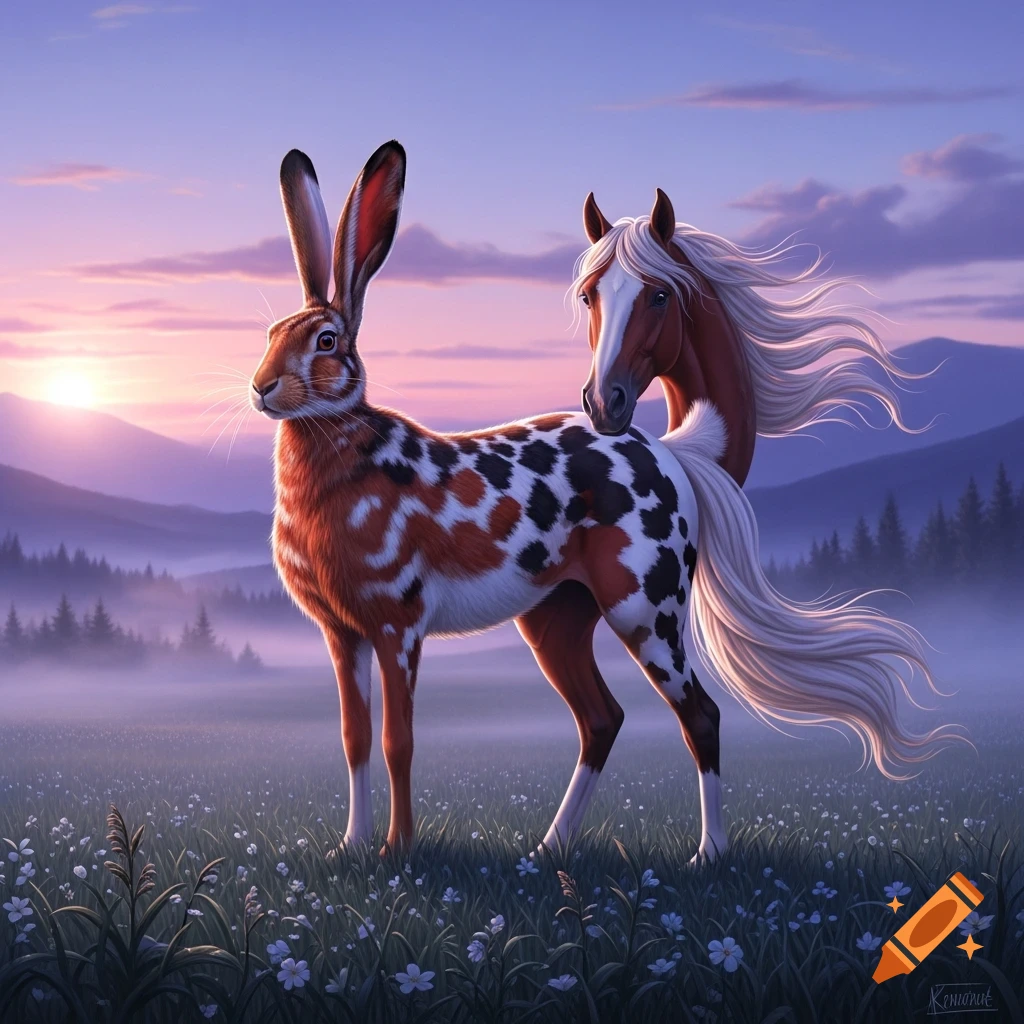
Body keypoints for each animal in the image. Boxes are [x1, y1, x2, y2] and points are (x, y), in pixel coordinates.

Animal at [249, 141, 963, 861]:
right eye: (273, 332)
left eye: (328, 341)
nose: (261, 387)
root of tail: (675, 455)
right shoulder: (342, 633)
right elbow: (355, 739)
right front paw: (350, 848)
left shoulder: (399, 627)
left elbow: (399, 741)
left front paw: (398, 850)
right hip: (556, 617)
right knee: (602, 717)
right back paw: (549, 850)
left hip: (646, 608)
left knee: (699, 713)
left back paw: (708, 854)